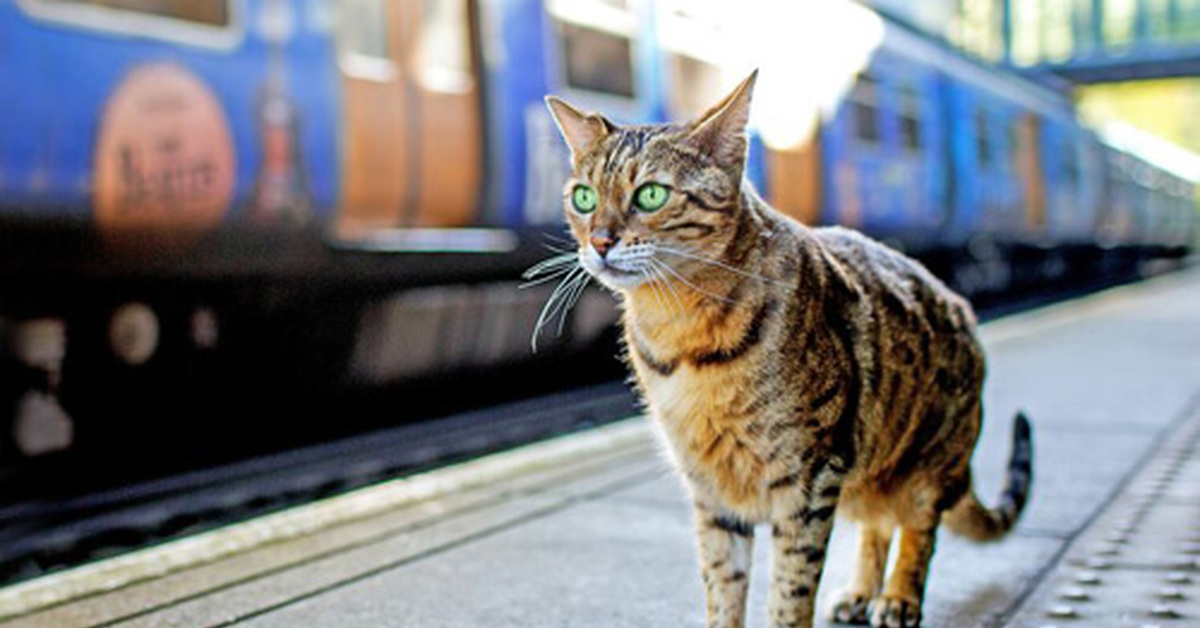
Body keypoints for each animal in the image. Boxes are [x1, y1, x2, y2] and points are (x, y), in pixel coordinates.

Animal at [542, 69, 1032, 628]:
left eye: (649, 195)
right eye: (583, 198)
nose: (600, 241)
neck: (681, 334)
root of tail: (962, 308)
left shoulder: (809, 478)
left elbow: (791, 589)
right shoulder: (712, 491)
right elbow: (723, 583)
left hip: (927, 463)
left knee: (917, 528)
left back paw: (899, 597)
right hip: (864, 475)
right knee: (877, 526)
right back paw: (861, 591)